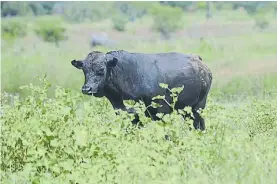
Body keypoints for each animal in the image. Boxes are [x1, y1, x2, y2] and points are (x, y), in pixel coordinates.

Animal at [70, 49, 211, 130]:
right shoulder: (123, 110)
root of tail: (198, 59)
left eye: (101, 69)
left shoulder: (161, 112)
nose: (87, 88)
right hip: (186, 110)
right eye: (84, 70)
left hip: (198, 107)